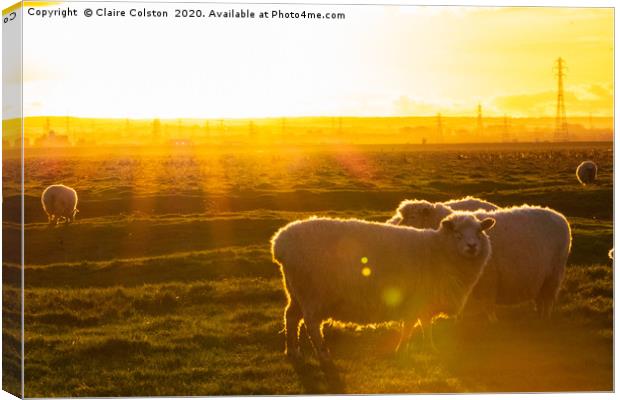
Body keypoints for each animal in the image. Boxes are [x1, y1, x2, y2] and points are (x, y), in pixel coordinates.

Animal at [272, 214, 494, 364]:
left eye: (479, 232)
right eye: (457, 234)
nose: (472, 246)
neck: (437, 251)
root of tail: (280, 242)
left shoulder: (425, 301)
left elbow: (425, 325)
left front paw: (430, 348)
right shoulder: (416, 299)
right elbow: (410, 327)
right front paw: (402, 350)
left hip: (296, 291)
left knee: (291, 316)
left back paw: (293, 351)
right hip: (313, 293)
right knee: (311, 324)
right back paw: (323, 354)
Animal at [388, 200, 572, 322]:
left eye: (412, 217)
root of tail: (558, 215)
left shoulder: (488, 282)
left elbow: (488, 307)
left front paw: (491, 324)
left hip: (554, 274)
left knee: (547, 301)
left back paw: (544, 320)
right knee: (541, 300)